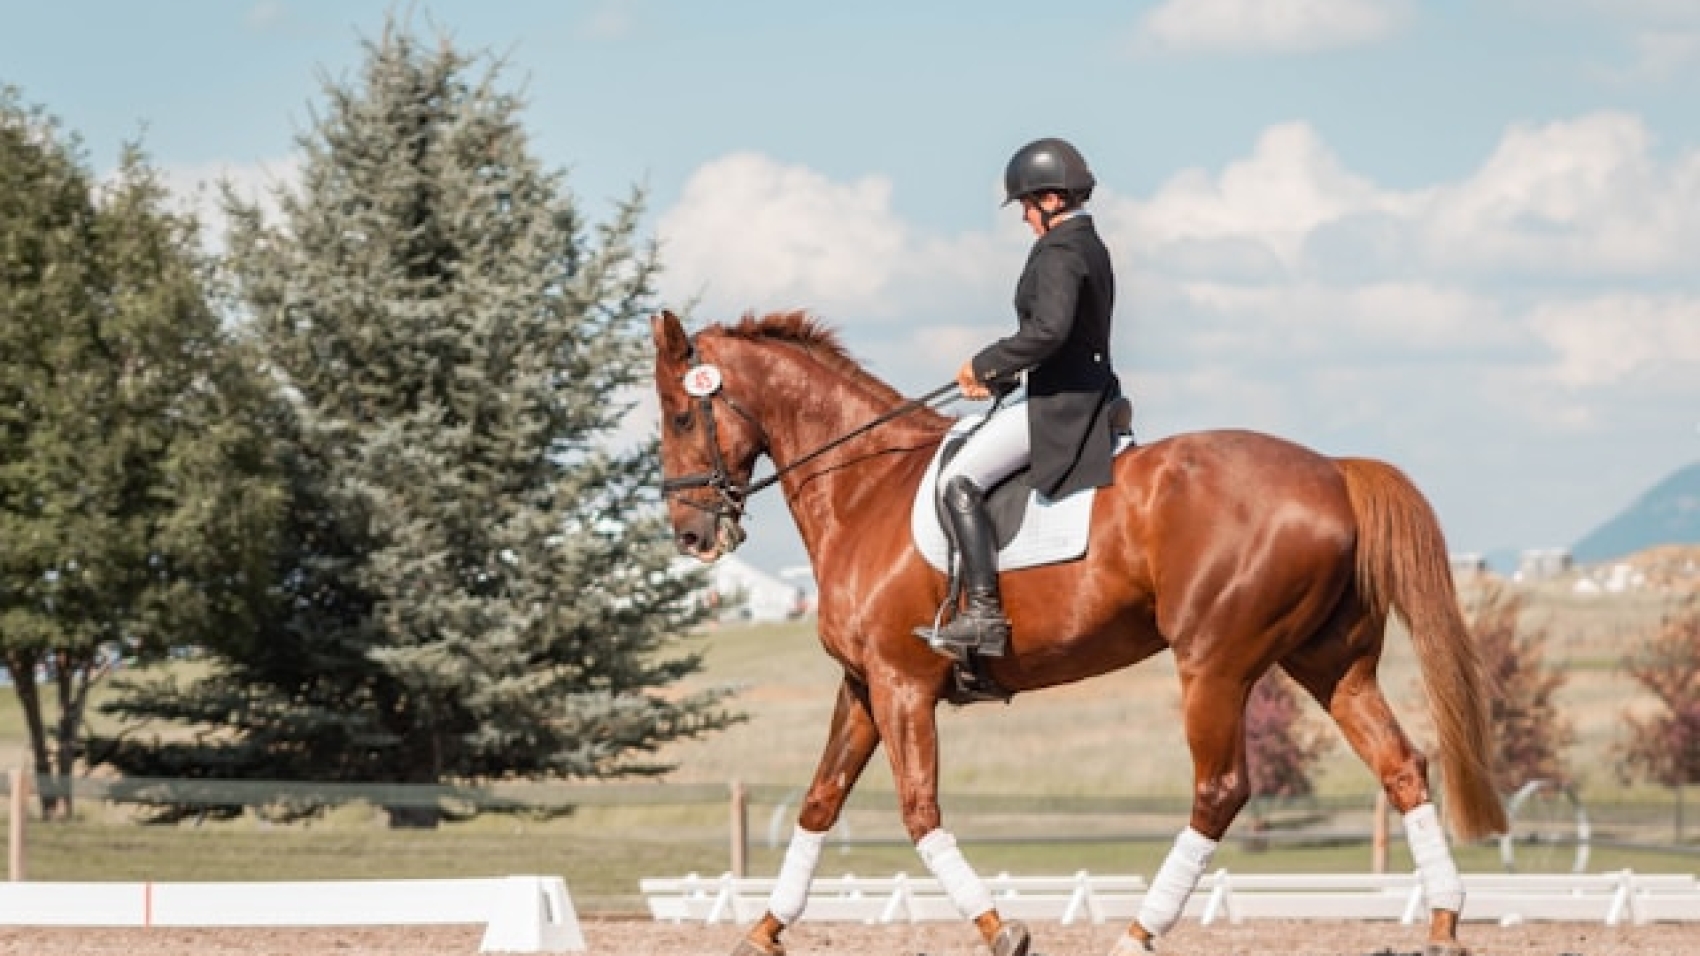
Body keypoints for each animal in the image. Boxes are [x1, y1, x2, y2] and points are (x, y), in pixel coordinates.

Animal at [651, 309, 1505, 956]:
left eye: (679, 412)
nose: (690, 536)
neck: (864, 487)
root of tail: (1332, 470)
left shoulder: (901, 684)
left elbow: (919, 811)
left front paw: (1000, 928)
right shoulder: (864, 684)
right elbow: (820, 801)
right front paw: (763, 930)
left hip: (1214, 665)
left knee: (1220, 791)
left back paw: (1137, 933)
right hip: (1330, 663)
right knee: (1401, 766)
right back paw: (1443, 922)